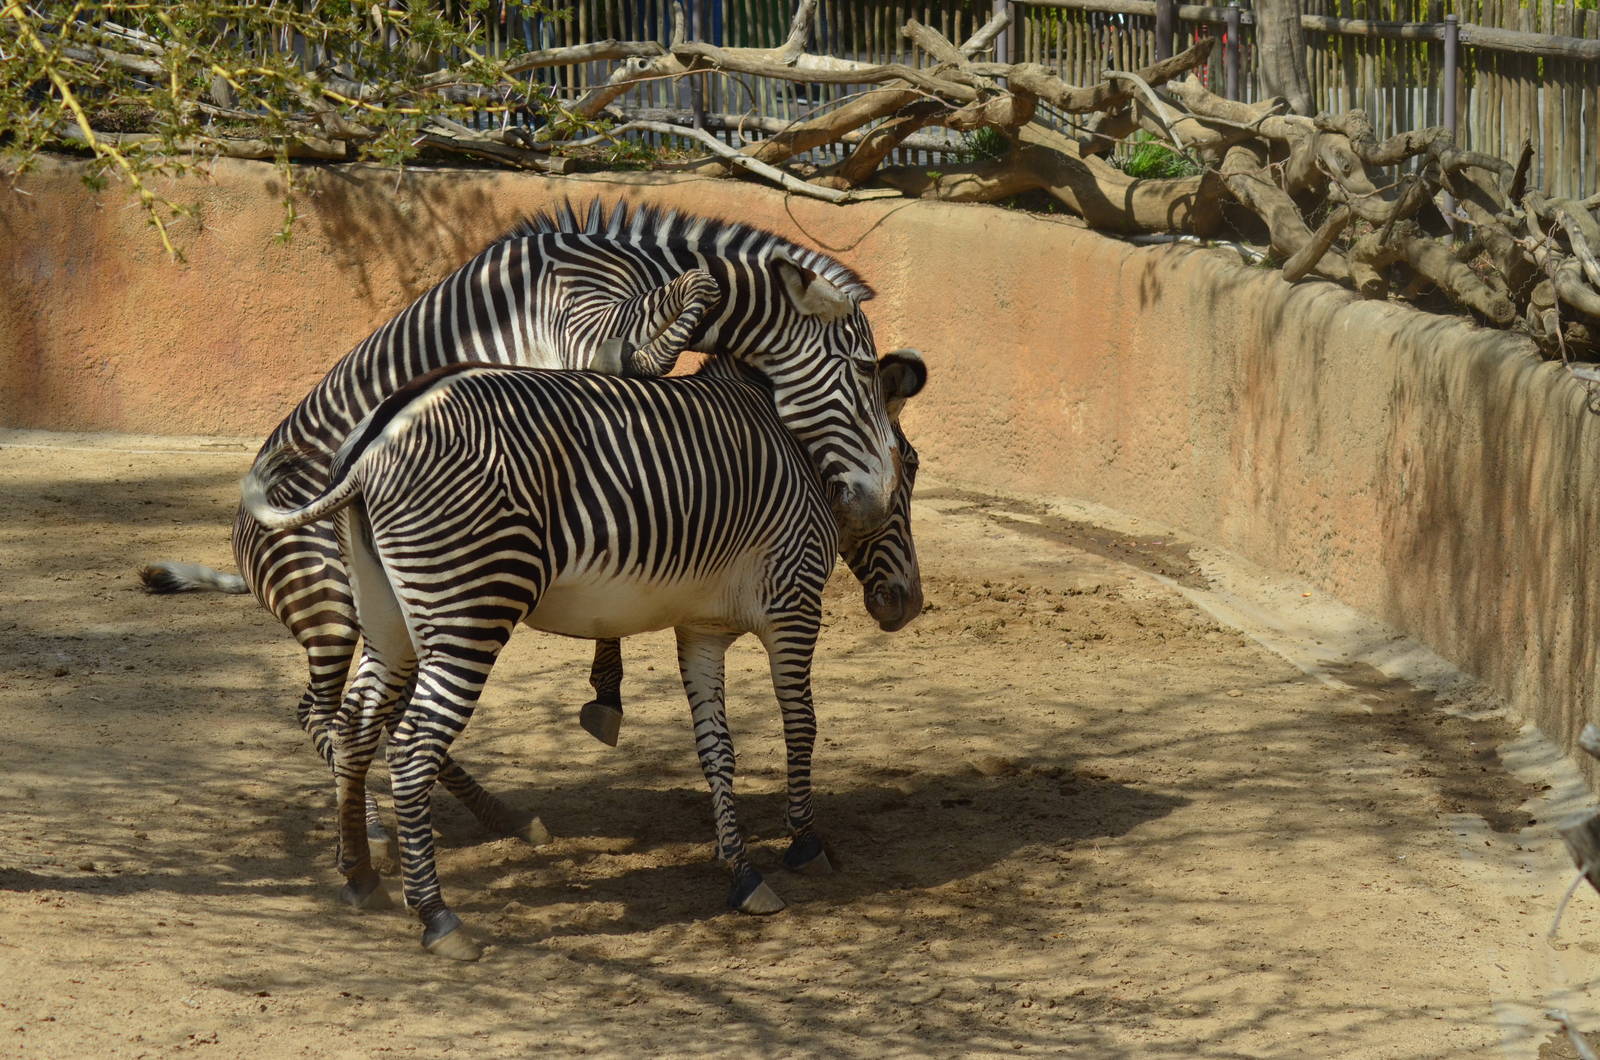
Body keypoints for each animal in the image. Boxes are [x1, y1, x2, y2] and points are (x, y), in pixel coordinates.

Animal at [141, 201, 912, 841]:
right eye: (855, 369)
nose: (872, 502)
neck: (630, 268)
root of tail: (242, 540)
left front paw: (607, 686)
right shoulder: (582, 334)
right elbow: (692, 299)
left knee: (385, 709)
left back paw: (495, 817)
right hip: (335, 604)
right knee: (328, 711)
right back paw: (387, 833)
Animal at [240, 349, 927, 960]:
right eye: (912, 465)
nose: (907, 606)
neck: (805, 452)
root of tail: (371, 448)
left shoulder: (701, 629)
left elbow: (718, 750)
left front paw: (740, 872)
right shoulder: (795, 602)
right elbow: (801, 725)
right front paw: (806, 842)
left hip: (387, 621)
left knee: (354, 727)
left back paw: (360, 875)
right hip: (472, 608)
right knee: (410, 747)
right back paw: (437, 917)